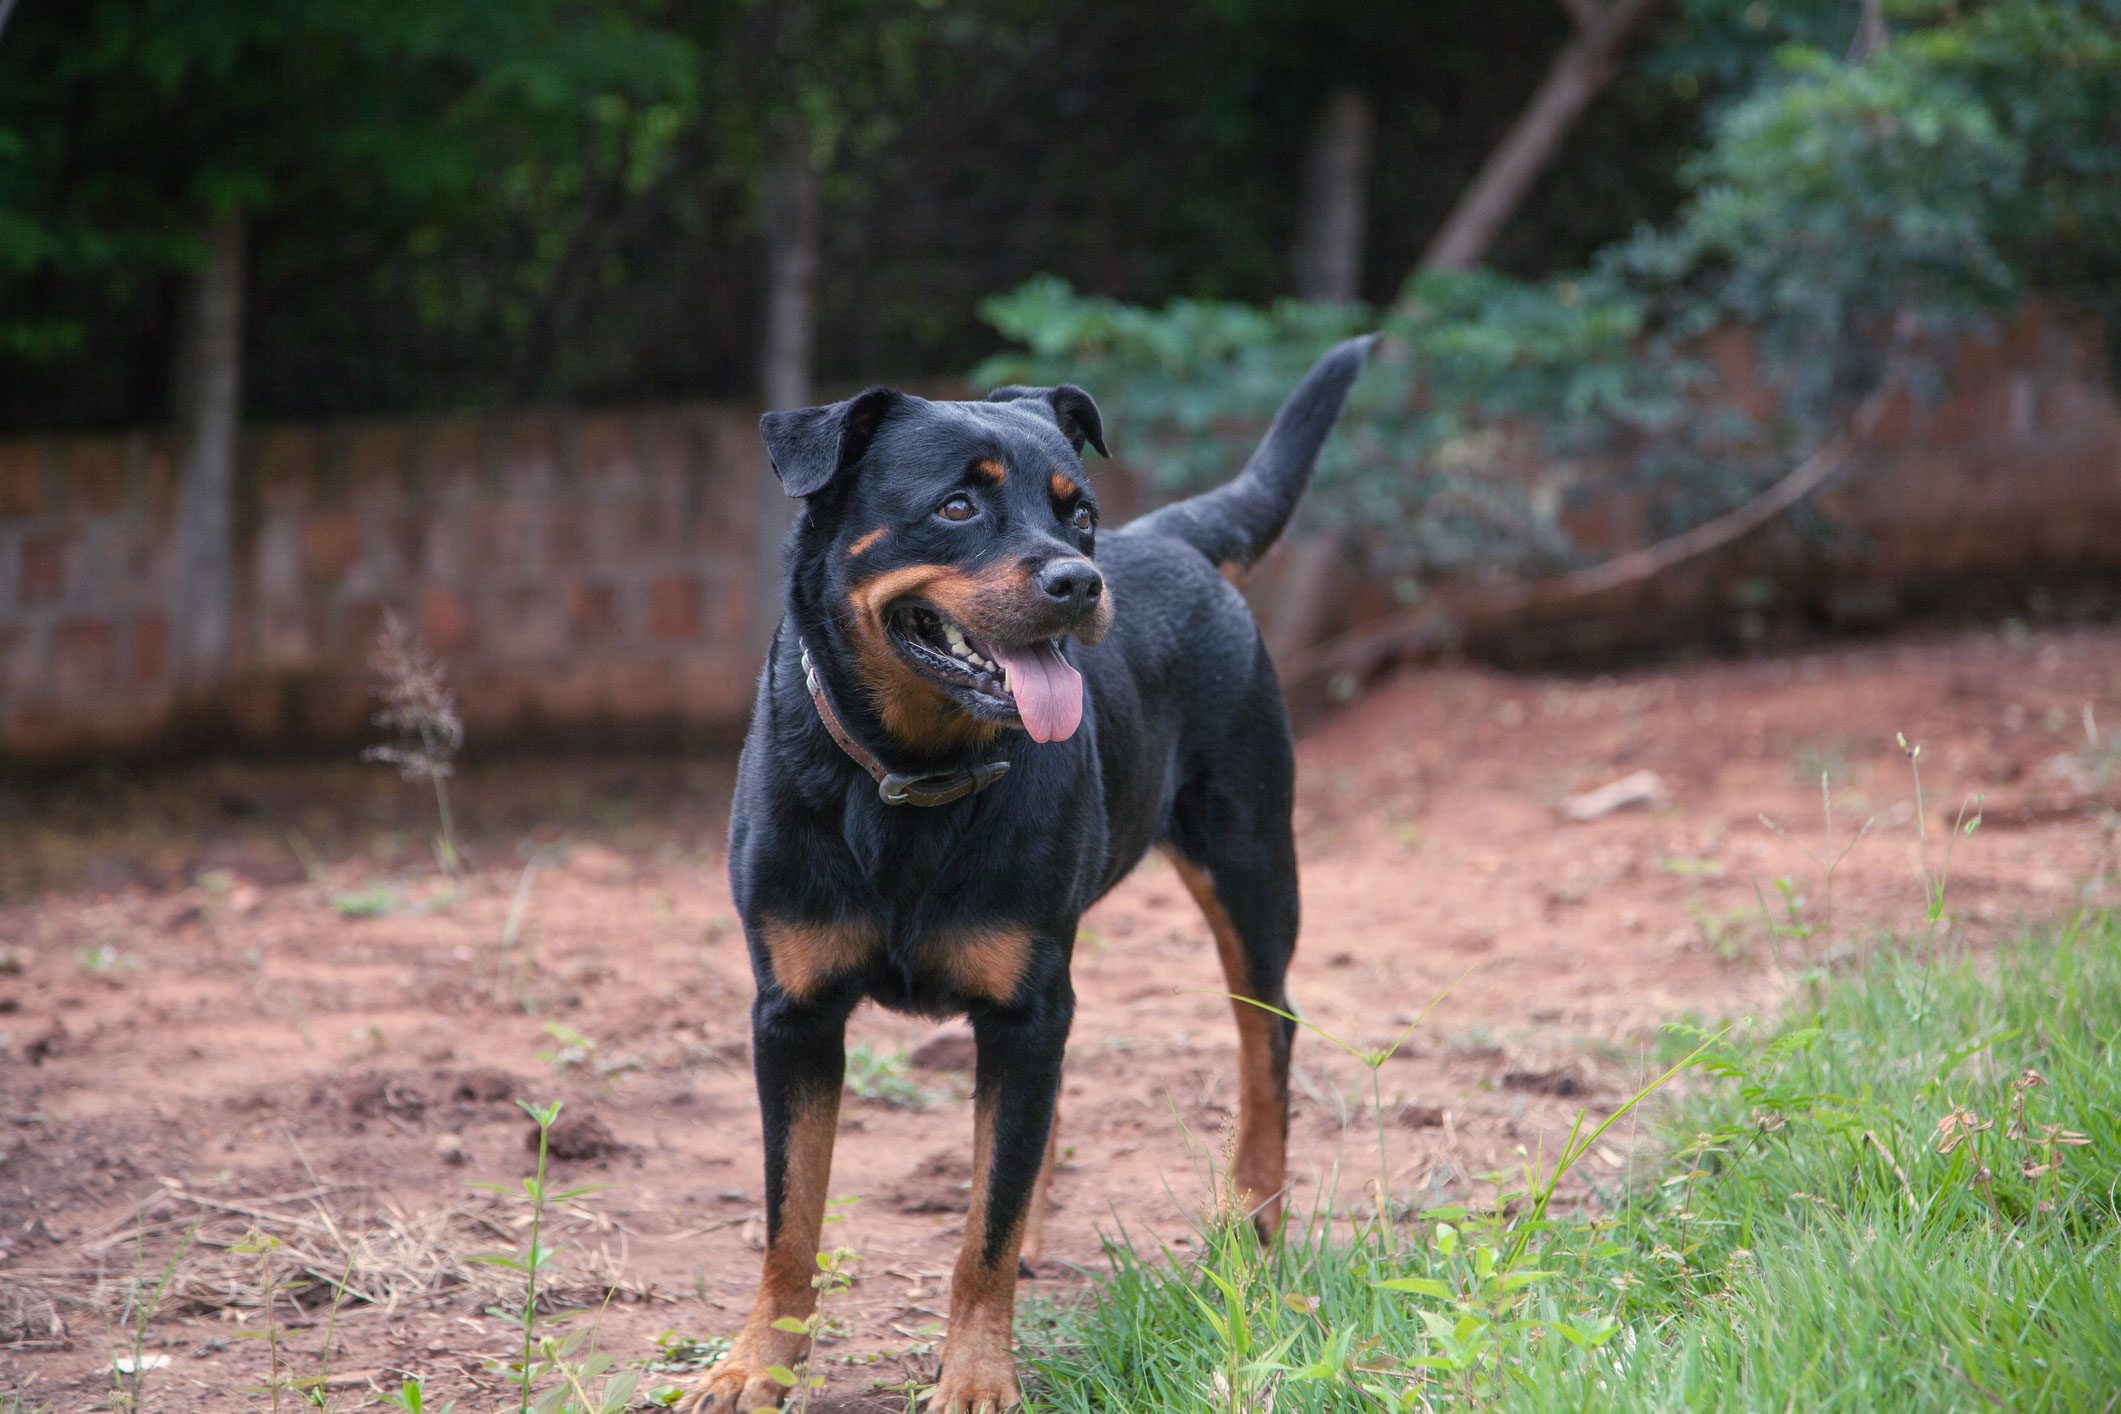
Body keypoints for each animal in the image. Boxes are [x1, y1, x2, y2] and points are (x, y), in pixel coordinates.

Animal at [682, 337, 1374, 1407]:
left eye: (1075, 510)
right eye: (957, 506)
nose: (1079, 579)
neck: (912, 777)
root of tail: (1171, 535)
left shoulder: (1021, 1009)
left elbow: (983, 1231)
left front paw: (974, 1375)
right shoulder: (791, 1014)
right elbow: (790, 1213)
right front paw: (758, 1361)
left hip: (1250, 863)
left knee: (1268, 1035)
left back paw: (1251, 1219)